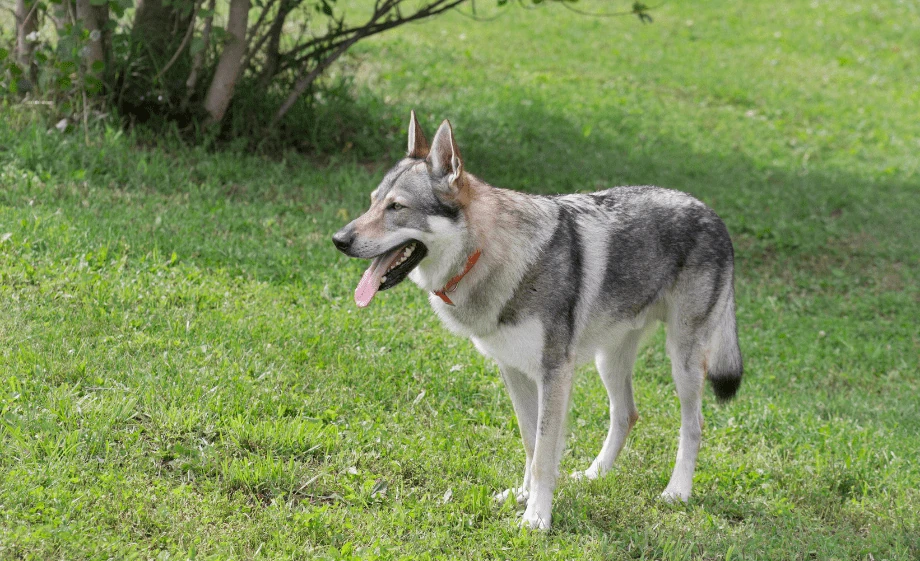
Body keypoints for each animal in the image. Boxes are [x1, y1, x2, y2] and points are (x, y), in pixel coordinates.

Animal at [334, 110, 744, 528]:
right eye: (372, 203)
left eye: (396, 207)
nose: (339, 239)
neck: (488, 253)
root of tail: (713, 214)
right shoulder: (513, 371)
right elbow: (531, 445)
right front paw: (523, 496)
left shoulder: (554, 373)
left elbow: (545, 454)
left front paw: (536, 518)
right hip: (609, 360)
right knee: (626, 414)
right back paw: (593, 475)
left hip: (683, 361)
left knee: (693, 425)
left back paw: (677, 491)